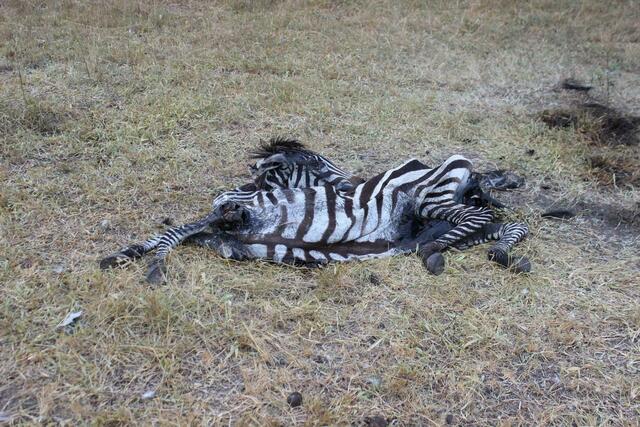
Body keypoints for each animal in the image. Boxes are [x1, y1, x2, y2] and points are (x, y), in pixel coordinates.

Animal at [100, 142, 530, 284]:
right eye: (320, 164)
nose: (349, 182)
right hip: (441, 204)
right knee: (496, 223)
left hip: (437, 199)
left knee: (492, 221)